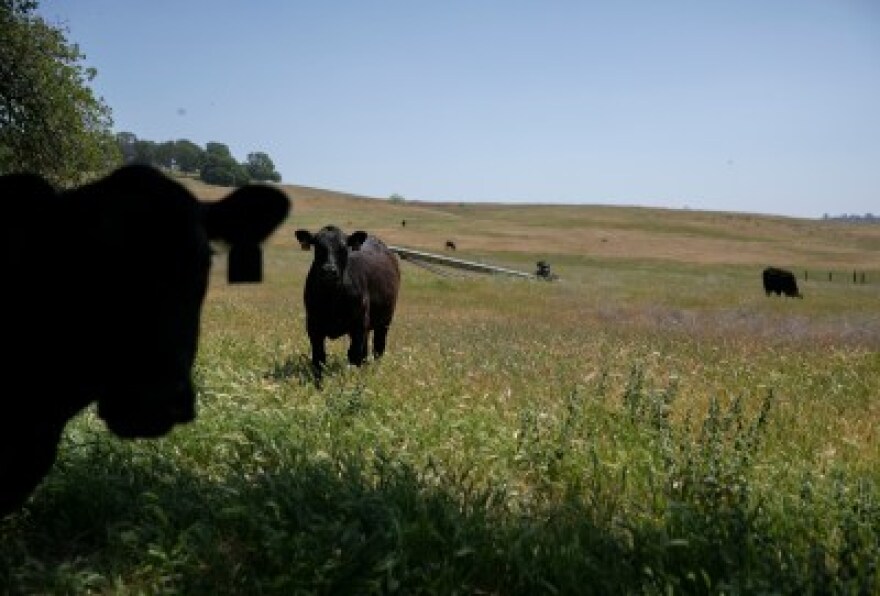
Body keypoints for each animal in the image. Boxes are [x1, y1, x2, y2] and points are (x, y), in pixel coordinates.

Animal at [298, 224, 404, 382]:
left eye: (343, 248)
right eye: (317, 246)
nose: (329, 271)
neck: (332, 298)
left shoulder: (358, 325)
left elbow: (354, 356)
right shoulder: (313, 325)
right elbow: (319, 358)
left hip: (384, 322)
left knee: (378, 349)